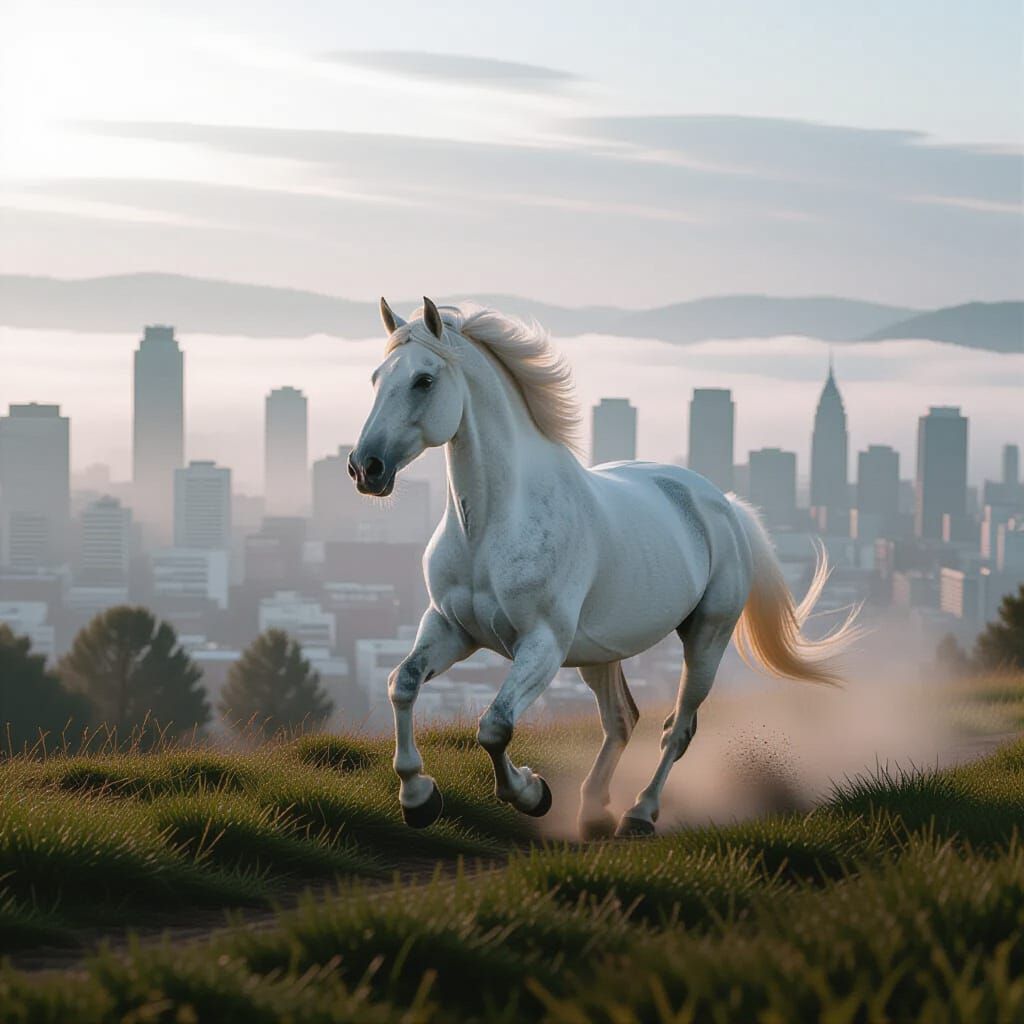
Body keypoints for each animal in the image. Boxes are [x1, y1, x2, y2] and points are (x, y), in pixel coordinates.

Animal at [349, 296, 860, 838]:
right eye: (377, 378)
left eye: (424, 380)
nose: (365, 468)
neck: (489, 526)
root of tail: (725, 505)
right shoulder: (450, 627)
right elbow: (401, 684)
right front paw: (418, 797)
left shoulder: (543, 644)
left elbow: (495, 726)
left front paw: (531, 793)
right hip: (598, 652)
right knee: (621, 719)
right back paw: (594, 811)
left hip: (707, 637)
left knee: (677, 729)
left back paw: (639, 813)